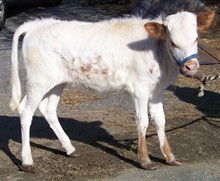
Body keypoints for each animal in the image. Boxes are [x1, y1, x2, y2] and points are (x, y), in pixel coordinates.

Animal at [9, 10, 214, 172]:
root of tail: (37, 25)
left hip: (56, 82)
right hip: (38, 80)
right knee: (25, 111)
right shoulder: (139, 89)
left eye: (196, 38)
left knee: (48, 109)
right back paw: (27, 161)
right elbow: (143, 122)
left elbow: (160, 121)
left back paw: (69, 148)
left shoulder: (156, 91)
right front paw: (145, 160)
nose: (191, 66)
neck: (158, 51)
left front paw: (169, 157)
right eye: (172, 42)